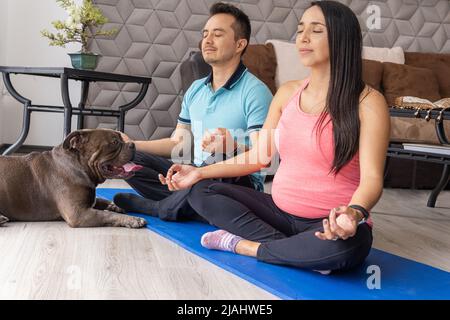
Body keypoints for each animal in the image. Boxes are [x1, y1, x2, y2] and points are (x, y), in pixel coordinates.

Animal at [0, 129, 147, 229]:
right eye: (114, 142)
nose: (132, 144)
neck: (78, 165)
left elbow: (100, 200)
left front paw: (114, 205)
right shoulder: (78, 214)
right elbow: (107, 215)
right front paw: (133, 219)